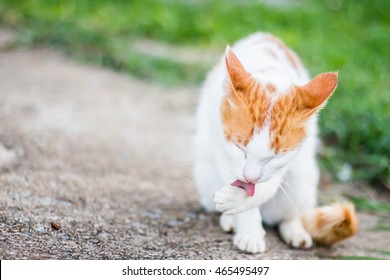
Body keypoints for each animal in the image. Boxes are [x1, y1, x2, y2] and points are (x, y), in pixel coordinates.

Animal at [193, 32, 358, 254]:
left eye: (274, 157)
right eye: (240, 148)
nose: (250, 177)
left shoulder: (289, 158)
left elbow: (266, 187)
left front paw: (238, 199)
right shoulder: (219, 140)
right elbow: (232, 173)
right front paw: (249, 229)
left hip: (303, 176)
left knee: (288, 213)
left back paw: (294, 230)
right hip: (204, 173)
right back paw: (230, 219)